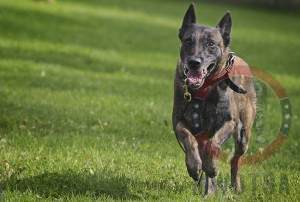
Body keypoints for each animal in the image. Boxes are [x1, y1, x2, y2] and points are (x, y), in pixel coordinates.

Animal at [172, 3, 256, 194]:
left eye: (211, 44)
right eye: (188, 41)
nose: (194, 62)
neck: (203, 89)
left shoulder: (229, 122)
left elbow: (213, 145)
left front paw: (211, 167)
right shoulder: (178, 121)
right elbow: (187, 137)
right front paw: (194, 166)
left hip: (244, 135)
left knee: (235, 160)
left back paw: (233, 186)